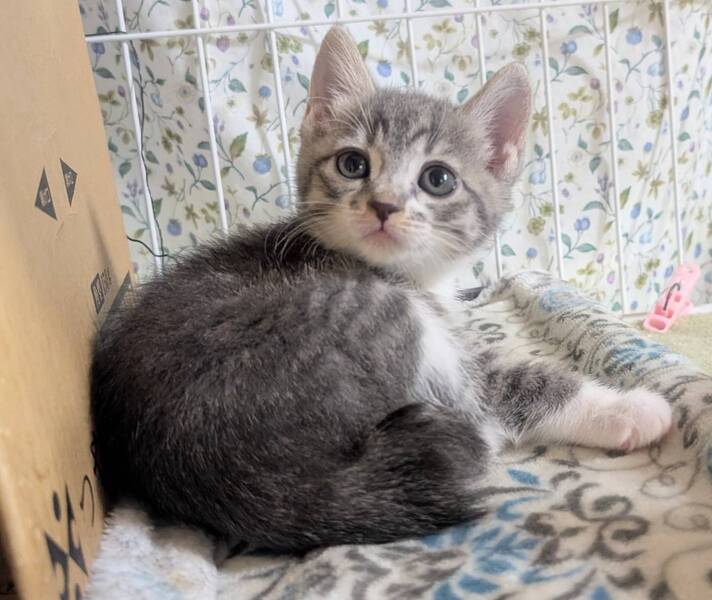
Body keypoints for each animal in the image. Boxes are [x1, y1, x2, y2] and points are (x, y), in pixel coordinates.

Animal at [91, 26, 672, 553]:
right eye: (353, 164)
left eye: (438, 178)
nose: (384, 205)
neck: (415, 276)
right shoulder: (442, 348)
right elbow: (515, 383)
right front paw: (633, 409)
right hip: (380, 320)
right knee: (476, 421)